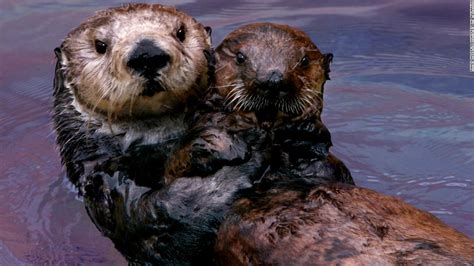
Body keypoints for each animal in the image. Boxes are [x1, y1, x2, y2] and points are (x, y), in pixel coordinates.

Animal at [164, 22, 352, 185]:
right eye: (240, 57)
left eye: (305, 60)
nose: (273, 79)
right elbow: (177, 159)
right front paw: (226, 144)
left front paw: (301, 133)